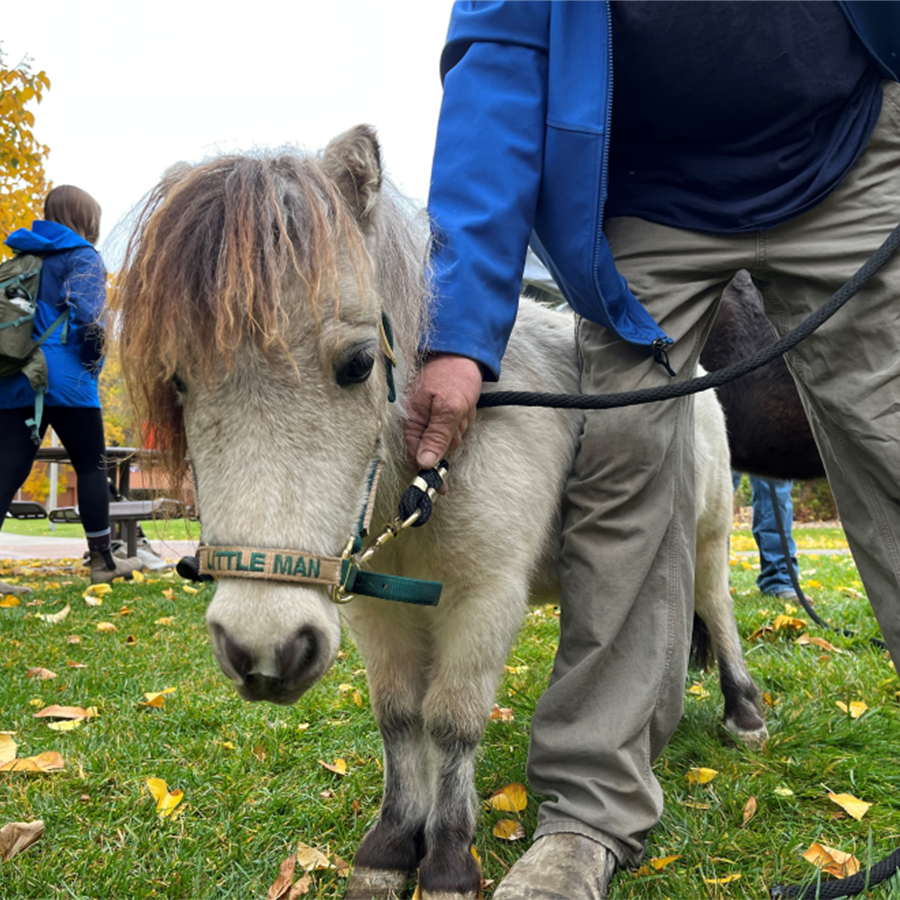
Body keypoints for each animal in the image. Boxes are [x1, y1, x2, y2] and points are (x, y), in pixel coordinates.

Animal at [116, 126, 765, 900]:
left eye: (359, 363)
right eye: (179, 379)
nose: (262, 649)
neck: (425, 479)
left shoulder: (484, 598)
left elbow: (452, 721)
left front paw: (449, 859)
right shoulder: (372, 609)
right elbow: (400, 720)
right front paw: (393, 846)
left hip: (709, 540)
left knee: (717, 608)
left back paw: (743, 712)